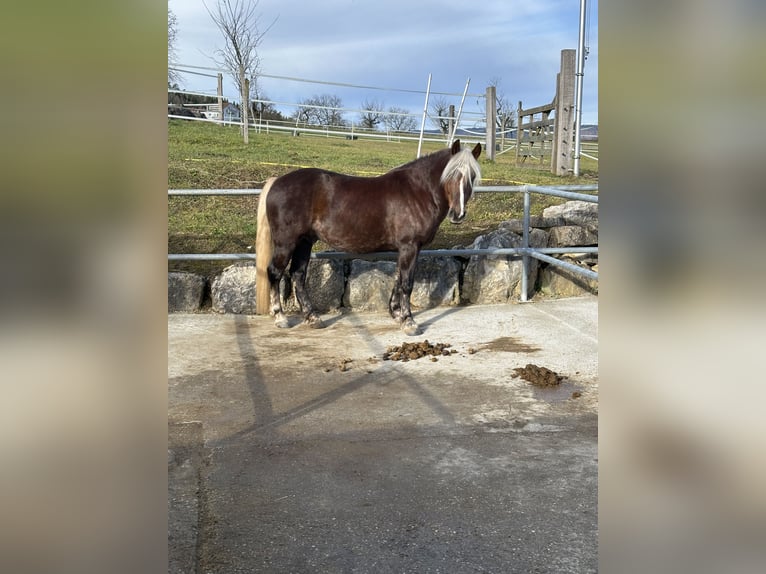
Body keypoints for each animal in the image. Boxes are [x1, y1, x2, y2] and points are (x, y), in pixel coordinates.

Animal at [255, 139, 481, 336]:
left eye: (471, 177)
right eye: (451, 174)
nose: (458, 214)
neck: (417, 192)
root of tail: (277, 181)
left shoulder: (404, 249)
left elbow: (398, 279)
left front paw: (396, 313)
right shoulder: (410, 246)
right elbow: (407, 283)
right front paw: (409, 322)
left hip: (304, 242)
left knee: (298, 275)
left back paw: (313, 318)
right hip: (286, 243)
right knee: (275, 272)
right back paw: (280, 317)